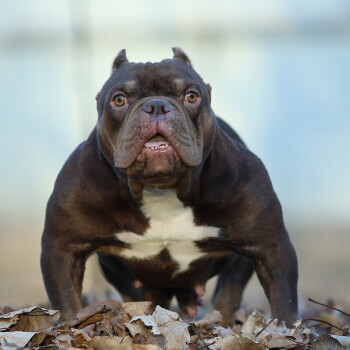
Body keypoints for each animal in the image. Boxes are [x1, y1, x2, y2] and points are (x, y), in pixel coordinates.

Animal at [41, 47, 298, 326]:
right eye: (119, 100)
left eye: (191, 96)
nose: (156, 106)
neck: (161, 189)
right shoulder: (63, 248)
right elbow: (67, 304)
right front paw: (68, 323)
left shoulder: (268, 246)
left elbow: (283, 301)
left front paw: (285, 328)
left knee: (228, 293)